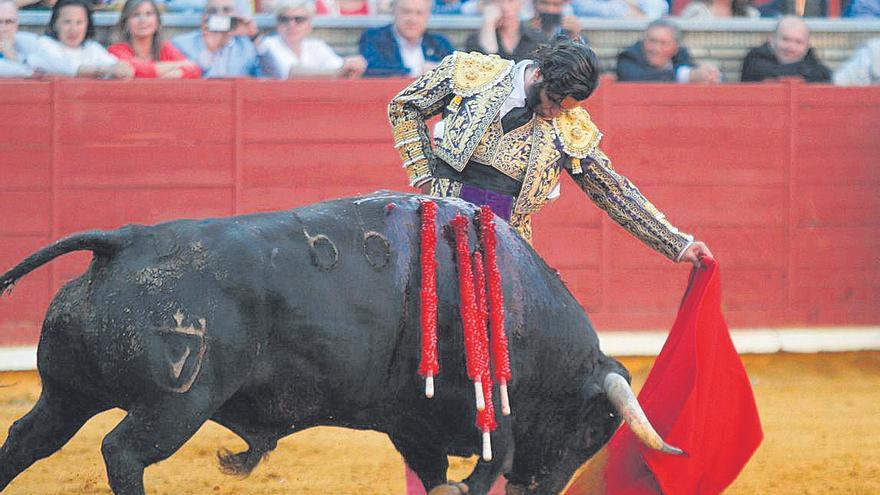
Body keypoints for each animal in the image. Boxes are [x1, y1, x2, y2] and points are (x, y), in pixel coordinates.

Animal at [0, 194, 680, 495]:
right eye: (594, 429)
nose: (540, 489)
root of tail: (124, 241)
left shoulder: (411, 421)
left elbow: (437, 476)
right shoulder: (486, 416)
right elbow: (488, 462)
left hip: (67, 394)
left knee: (28, 439)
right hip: (175, 404)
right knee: (123, 452)